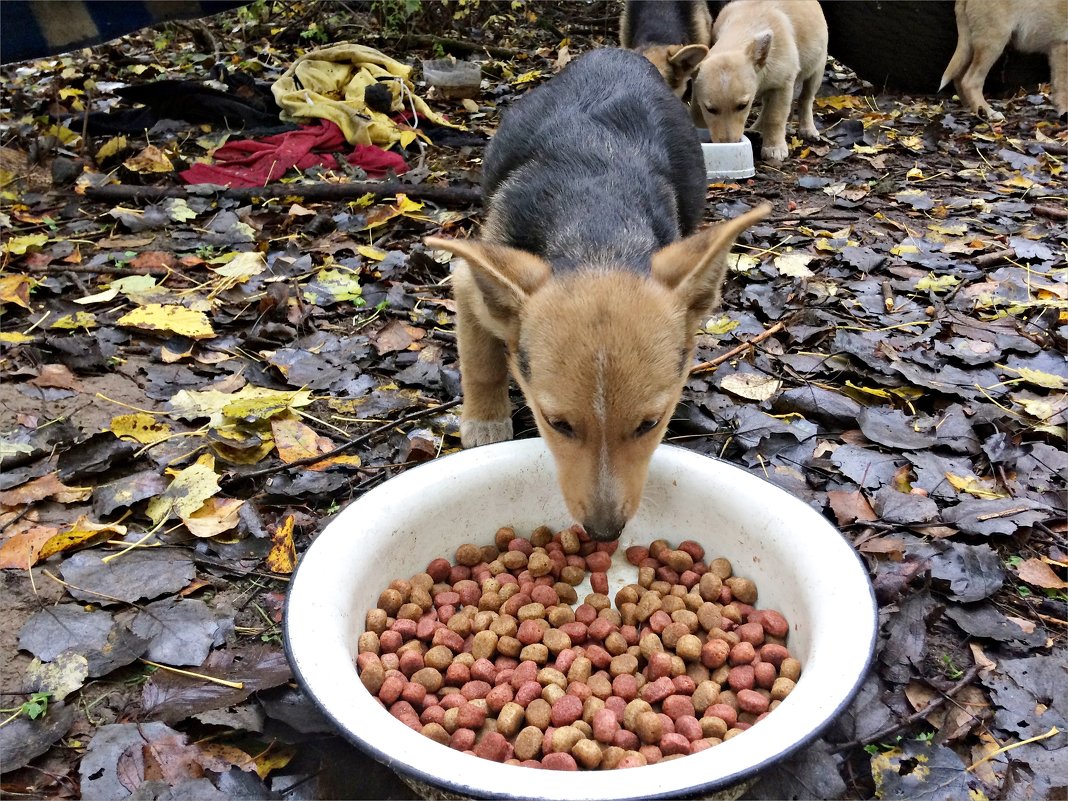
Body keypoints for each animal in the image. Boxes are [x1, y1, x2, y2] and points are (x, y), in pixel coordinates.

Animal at [425, 48, 768, 540]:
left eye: (650, 424)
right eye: (557, 424)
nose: (605, 533)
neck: (597, 235)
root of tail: (619, 53)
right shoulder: (470, 281)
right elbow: (482, 364)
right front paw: (485, 424)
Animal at [687, 0, 828, 163]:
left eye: (743, 106)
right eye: (710, 110)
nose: (729, 142)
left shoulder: (783, 86)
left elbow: (775, 117)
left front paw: (774, 148)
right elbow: (696, 110)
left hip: (817, 68)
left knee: (806, 99)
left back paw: (808, 129)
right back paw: (757, 128)